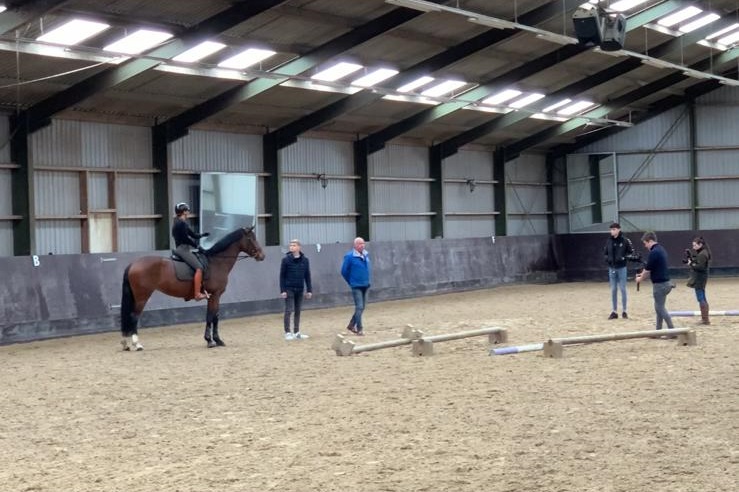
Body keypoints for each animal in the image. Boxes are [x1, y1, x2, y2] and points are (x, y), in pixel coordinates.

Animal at [118, 227, 264, 350]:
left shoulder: (213, 296)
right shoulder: (215, 294)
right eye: (251, 239)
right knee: (133, 317)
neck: (217, 262)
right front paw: (210, 341)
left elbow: (214, 316)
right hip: (142, 297)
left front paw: (217, 340)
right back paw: (137, 344)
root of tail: (133, 264)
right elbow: (211, 316)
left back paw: (125, 344)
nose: (262, 255)